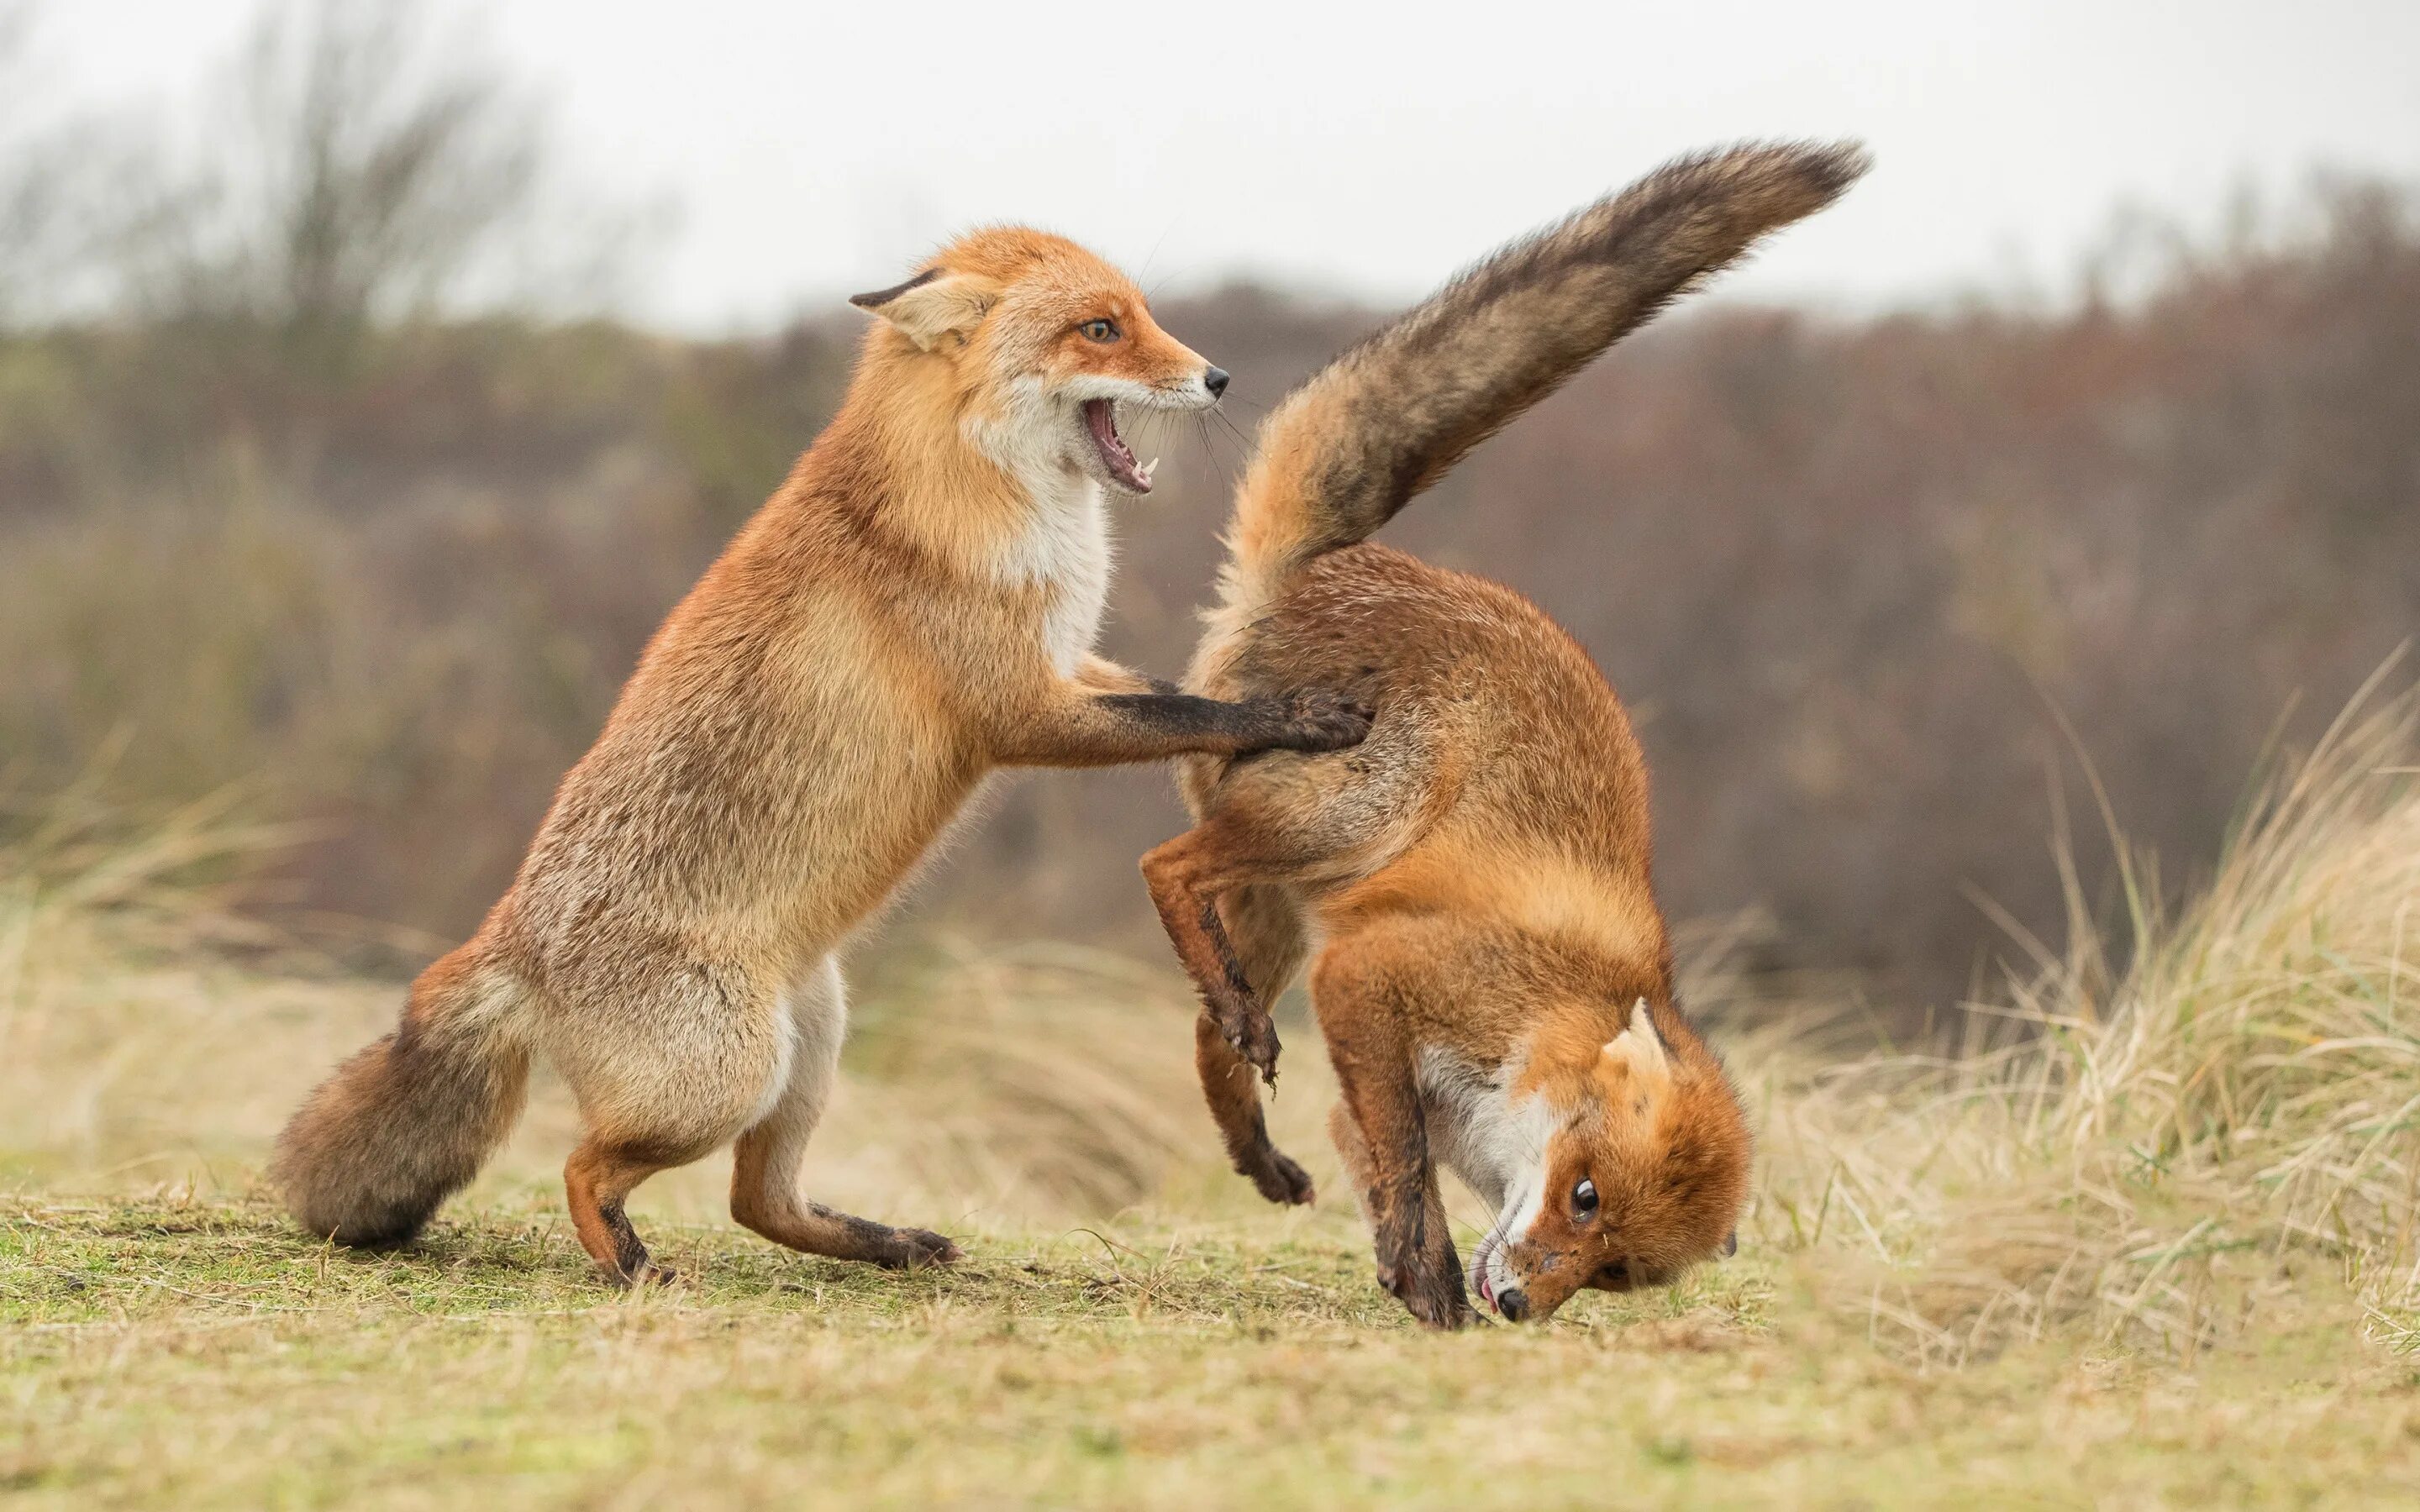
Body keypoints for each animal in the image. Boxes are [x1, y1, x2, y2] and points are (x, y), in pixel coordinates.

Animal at [274, 227, 1374, 1287]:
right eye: (1100, 329)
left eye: (1142, 315)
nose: (1218, 378)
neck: (982, 499)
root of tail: (507, 940)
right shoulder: (1023, 710)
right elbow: (1191, 711)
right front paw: (1301, 715)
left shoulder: (1070, 665)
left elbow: (1172, 692)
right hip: (723, 1080)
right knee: (584, 1168)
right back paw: (633, 1268)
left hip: (811, 1044)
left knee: (756, 1203)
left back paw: (887, 1245)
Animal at [1137, 138, 1868, 1315]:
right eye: (1584, 1196)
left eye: (1613, 1272)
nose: (1521, 1305)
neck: (1551, 1016)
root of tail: (1331, 566)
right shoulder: (1372, 978)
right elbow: (1401, 1156)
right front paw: (1431, 1275)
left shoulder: (1364, 1055)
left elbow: (1372, 1149)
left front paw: (1408, 1272)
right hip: (1345, 821)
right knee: (1165, 867)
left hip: (1282, 912)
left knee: (1211, 1026)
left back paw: (1256, 1144)